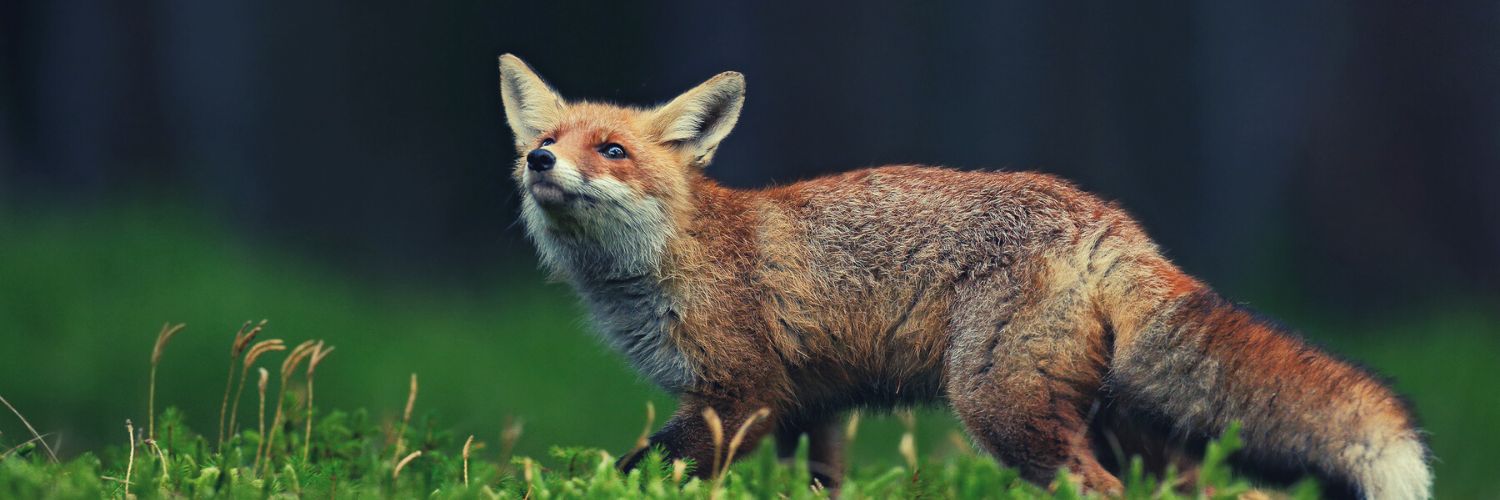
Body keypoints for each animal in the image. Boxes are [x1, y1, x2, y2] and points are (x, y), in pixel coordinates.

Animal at [496, 54, 1431, 499]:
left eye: (611, 150)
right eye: (540, 142)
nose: (541, 161)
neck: (675, 260)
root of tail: (1111, 221)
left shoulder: (741, 395)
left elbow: (637, 467)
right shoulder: (811, 406)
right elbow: (819, 485)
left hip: (1004, 410)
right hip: (1128, 431)